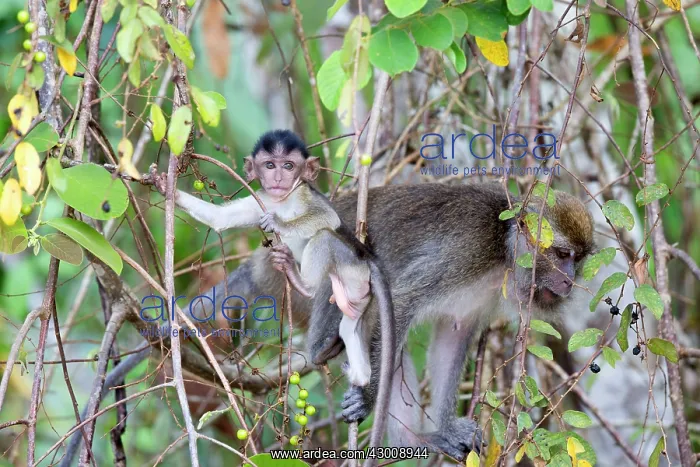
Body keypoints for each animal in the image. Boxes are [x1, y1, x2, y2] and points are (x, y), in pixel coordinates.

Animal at [151, 129, 397, 451]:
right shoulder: (263, 199)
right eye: (270, 165)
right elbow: (219, 220)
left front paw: (280, 223)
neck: (282, 199)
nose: (279, 177)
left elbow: (328, 220)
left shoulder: (304, 193)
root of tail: (367, 257)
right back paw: (358, 373)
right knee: (349, 326)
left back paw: (302, 283)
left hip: (350, 268)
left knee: (324, 237)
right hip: (356, 292)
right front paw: (166, 188)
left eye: (289, 166)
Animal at [204, 182, 594, 461]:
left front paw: (445, 428)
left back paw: (416, 440)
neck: (504, 253)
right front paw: (368, 399)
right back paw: (323, 348)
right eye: (561, 254)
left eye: (579, 259)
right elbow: (401, 300)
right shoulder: (468, 251)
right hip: (306, 265)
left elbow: (453, 335)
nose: (568, 281)